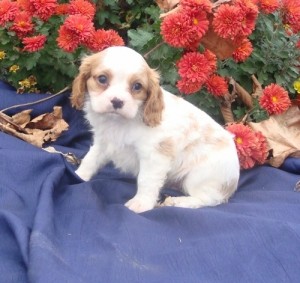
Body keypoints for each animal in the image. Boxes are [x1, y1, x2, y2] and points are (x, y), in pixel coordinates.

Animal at [71, 46, 240, 214]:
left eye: (137, 86)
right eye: (102, 79)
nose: (117, 101)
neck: (118, 122)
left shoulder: (154, 156)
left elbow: (146, 180)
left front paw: (141, 203)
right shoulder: (103, 142)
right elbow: (91, 159)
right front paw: (79, 175)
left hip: (200, 176)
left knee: (209, 199)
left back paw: (178, 201)